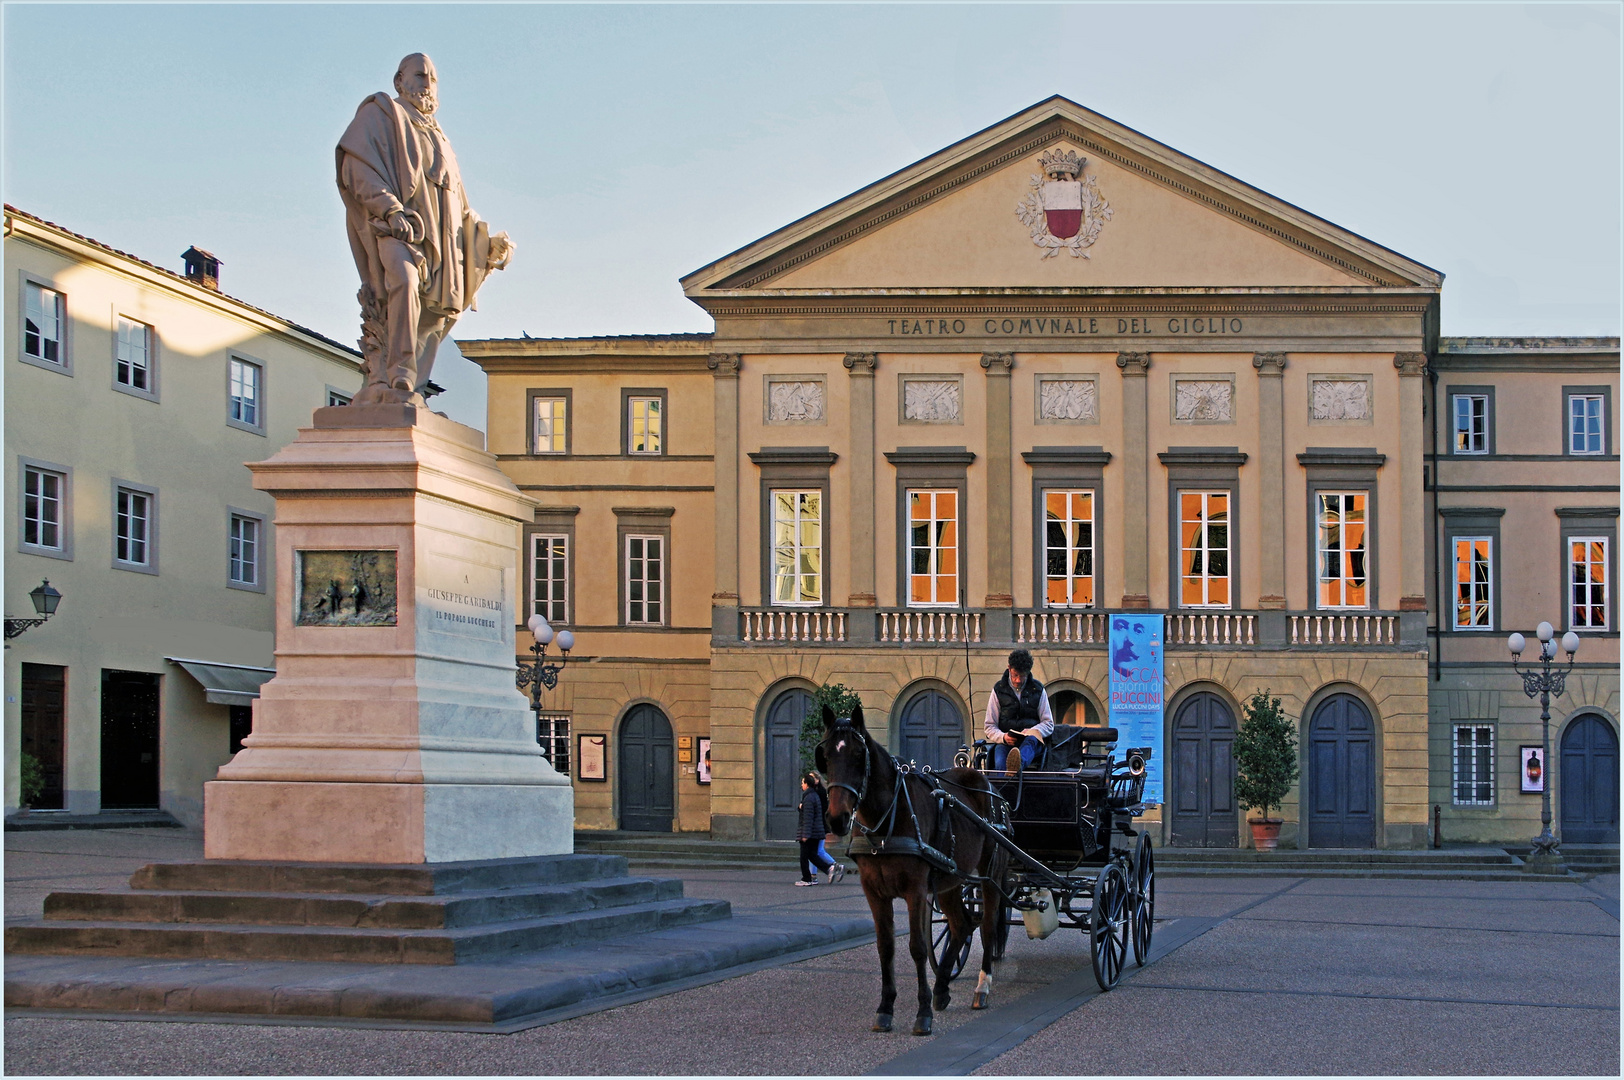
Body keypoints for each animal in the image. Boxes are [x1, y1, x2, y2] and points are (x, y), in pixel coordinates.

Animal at [818, 698, 1006, 1039]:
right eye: (825, 756)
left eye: (858, 755)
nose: (837, 819)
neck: (887, 822)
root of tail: (986, 782)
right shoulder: (874, 892)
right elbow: (886, 947)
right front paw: (885, 1008)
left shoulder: (916, 890)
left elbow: (917, 947)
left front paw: (922, 1014)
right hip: (950, 880)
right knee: (960, 925)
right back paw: (942, 989)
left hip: (990, 874)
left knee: (985, 925)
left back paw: (982, 987)